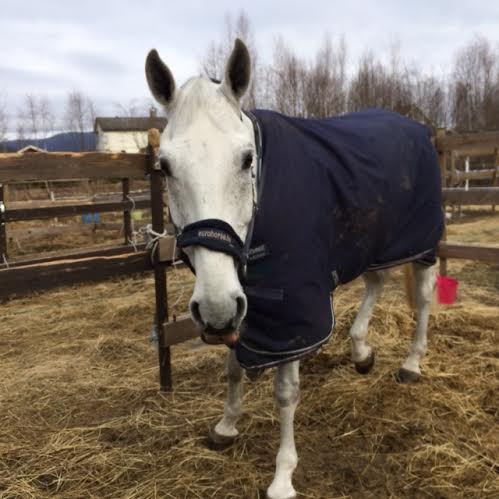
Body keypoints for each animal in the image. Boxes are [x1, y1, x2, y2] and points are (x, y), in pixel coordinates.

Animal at [145, 39, 443, 499]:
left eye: (246, 159)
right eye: (165, 167)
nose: (214, 310)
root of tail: (417, 128)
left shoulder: (290, 318)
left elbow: (286, 393)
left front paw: (283, 476)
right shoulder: (243, 304)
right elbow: (233, 368)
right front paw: (226, 426)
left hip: (422, 243)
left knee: (425, 297)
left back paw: (411, 364)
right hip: (374, 243)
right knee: (376, 281)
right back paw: (360, 351)